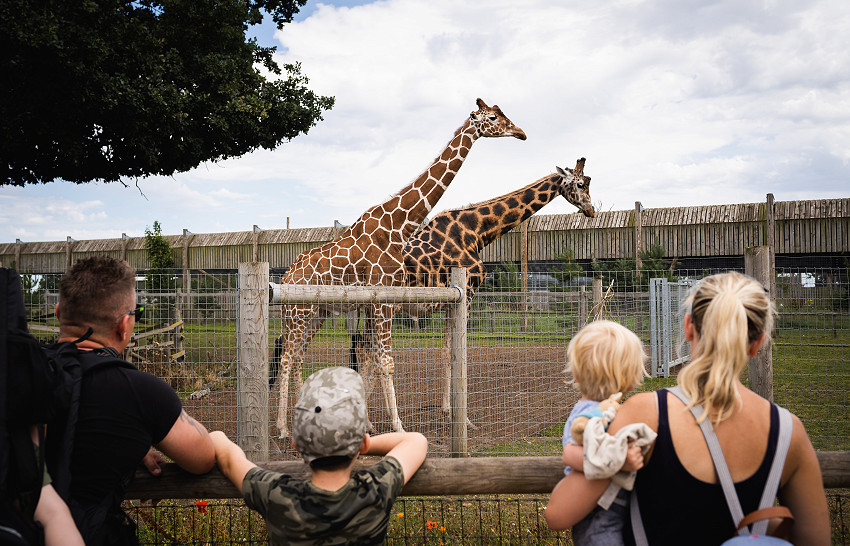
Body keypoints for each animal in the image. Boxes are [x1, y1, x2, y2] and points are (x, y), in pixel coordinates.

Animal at [274, 99, 524, 434]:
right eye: (494, 117)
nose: (521, 132)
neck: (398, 224)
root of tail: (288, 273)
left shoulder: (383, 301)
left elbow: (377, 360)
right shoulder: (383, 301)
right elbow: (385, 362)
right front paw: (399, 428)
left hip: (316, 314)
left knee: (299, 355)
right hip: (298, 314)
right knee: (288, 357)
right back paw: (282, 427)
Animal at [394, 157, 592, 420]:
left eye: (588, 181)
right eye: (580, 184)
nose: (591, 210)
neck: (476, 232)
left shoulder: (450, 302)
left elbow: (447, 351)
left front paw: (447, 408)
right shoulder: (466, 293)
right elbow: (460, 352)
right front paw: (464, 418)